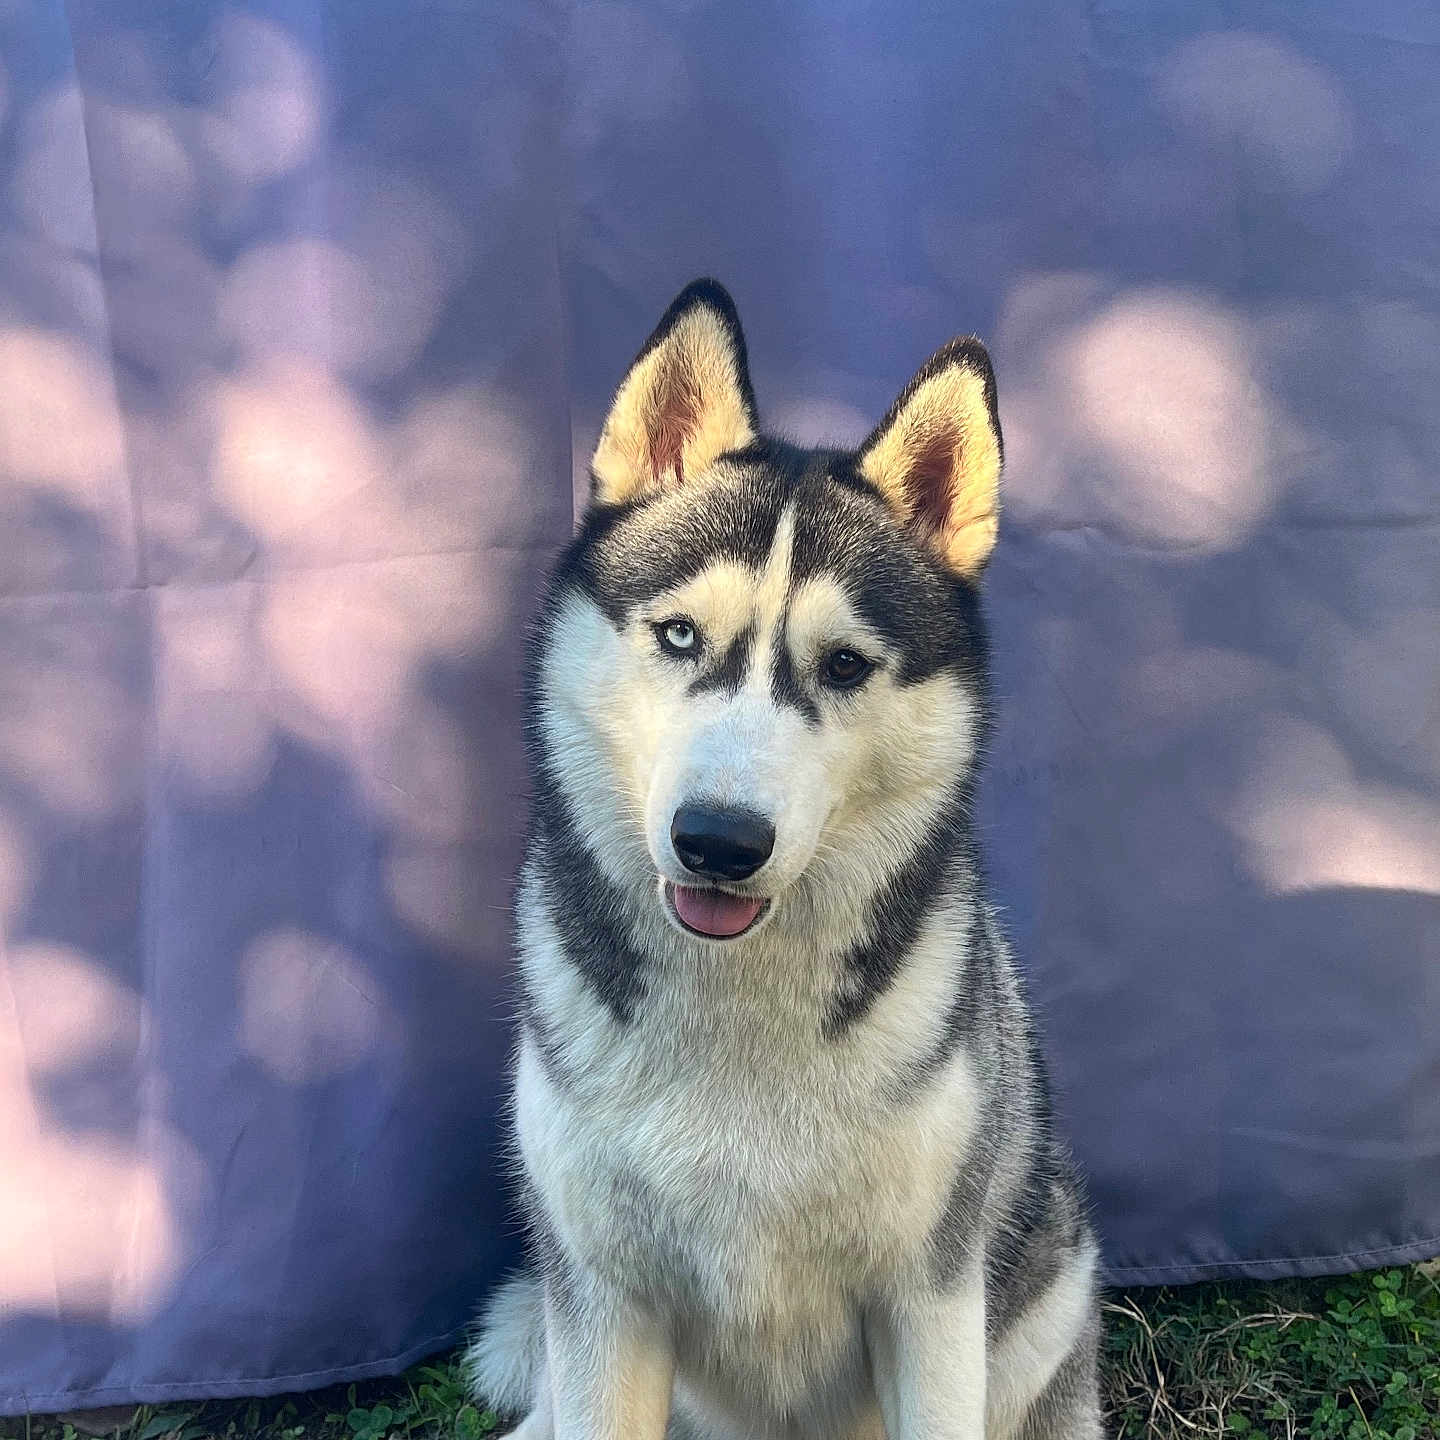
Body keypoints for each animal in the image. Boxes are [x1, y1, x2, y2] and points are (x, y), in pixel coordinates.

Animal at [464, 279, 1103, 1439]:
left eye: (843, 665)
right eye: (678, 636)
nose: (719, 840)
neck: (737, 1011)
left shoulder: (930, 1299)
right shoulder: (603, 1298)